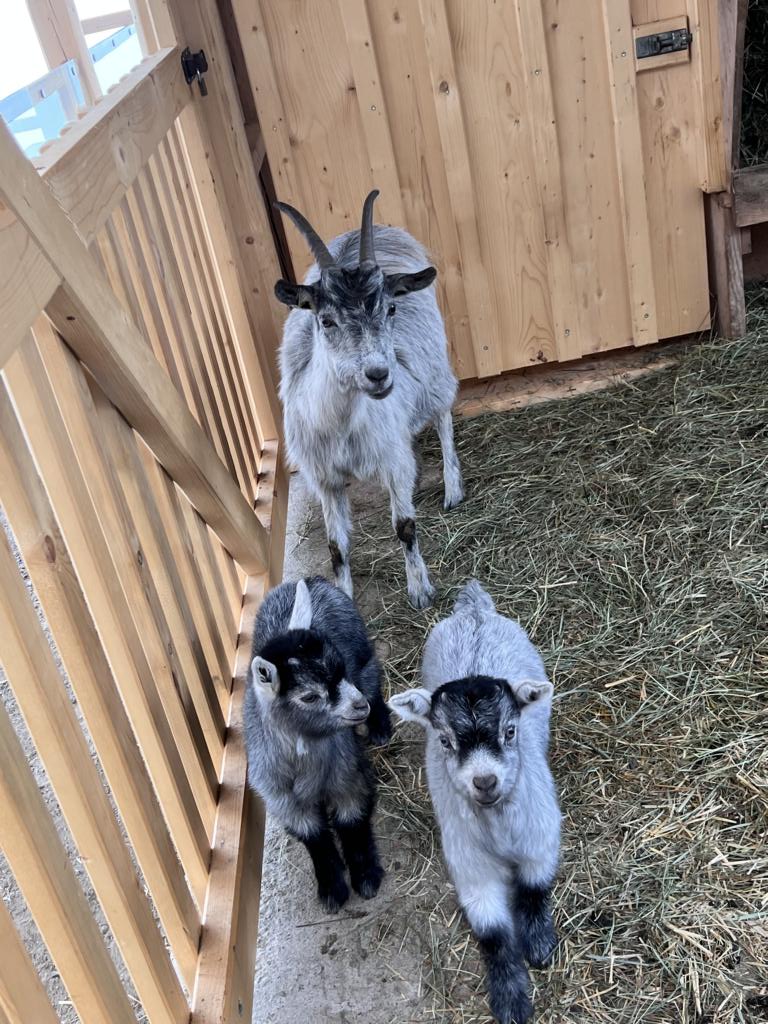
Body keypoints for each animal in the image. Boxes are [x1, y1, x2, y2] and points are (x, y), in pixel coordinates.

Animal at [244, 577, 391, 912]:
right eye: (309, 696)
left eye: (341, 670)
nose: (359, 707)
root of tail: (315, 581)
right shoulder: (283, 799)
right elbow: (315, 838)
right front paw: (332, 889)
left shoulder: (348, 774)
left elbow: (352, 823)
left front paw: (366, 877)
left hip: (364, 658)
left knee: (373, 680)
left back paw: (379, 725)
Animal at [274, 190, 464, 610]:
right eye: (325, 320)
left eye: (390, 308)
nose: (379, 374)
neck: (342, 424)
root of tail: (383, 229)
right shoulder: (323, 477)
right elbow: (335, 548)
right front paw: (343, 597)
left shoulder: (392, 460)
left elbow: (404, 526)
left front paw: (420, 591)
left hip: (435, 370)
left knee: (443, 414)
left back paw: (453, 488)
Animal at [389, 581, 561, 1024]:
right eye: (445, 740)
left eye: (511, 731)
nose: (485, 781)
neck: (499, 826)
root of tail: (474, 612)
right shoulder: (471, 870)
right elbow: (494, 935)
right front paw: (511, 999)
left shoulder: (542, 837)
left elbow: (534, 888)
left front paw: (540, 944)